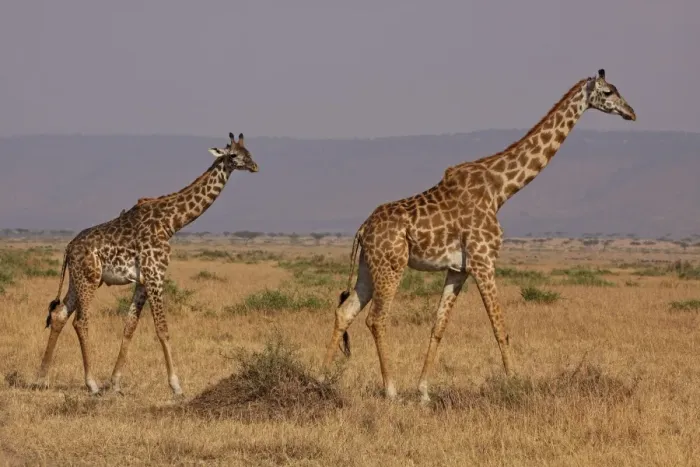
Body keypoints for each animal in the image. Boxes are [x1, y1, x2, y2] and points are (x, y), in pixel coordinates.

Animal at [35, 132, 259, 395]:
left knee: (59, 315)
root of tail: (69, 248)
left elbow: (130, 326)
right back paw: (91, 383)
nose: (255, 166)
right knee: (81, 322)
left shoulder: (142, 281)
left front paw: (115, 382)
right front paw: (176, 386)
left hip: (78, 279)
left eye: (249, 152)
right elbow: (162, 329)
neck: (171, 222)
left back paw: (41, 379)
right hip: (88, 279)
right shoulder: (155, 275)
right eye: (233, 155)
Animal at [321, 69, 636, 402]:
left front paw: (424, 392)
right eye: (608, 92)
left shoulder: (458, 269)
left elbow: (438, 326)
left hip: (369, 267)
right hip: (391, 265)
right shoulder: (484, 261)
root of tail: (362, 229)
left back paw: (321, 379)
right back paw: (390, 390)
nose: (631, 113)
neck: (501, 189)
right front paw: (516, 383)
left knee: (345, 312)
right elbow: (500, 327)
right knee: (376, 318)